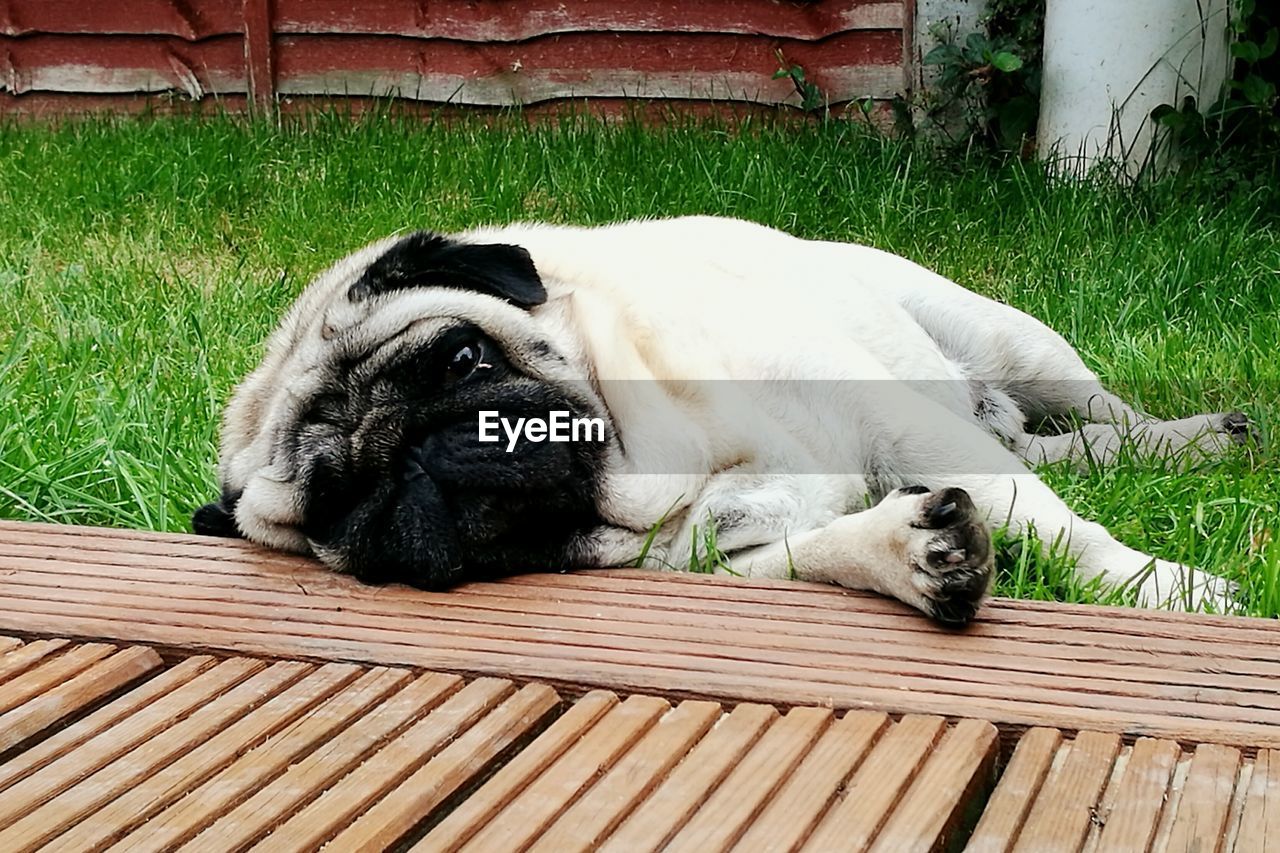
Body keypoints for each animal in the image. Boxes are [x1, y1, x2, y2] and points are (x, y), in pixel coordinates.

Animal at [194, 216, 1244, 622]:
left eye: (460, 357)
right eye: (340, 505)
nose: (416, 456)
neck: (680, 468)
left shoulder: (906, 426)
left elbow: (1062, 531)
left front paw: (1164, 589)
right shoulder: (735, 564)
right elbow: (829, 551)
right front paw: (910, 552)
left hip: (1009, 341)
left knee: (1088, 414)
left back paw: (1192, 439)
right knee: (1041, 445)